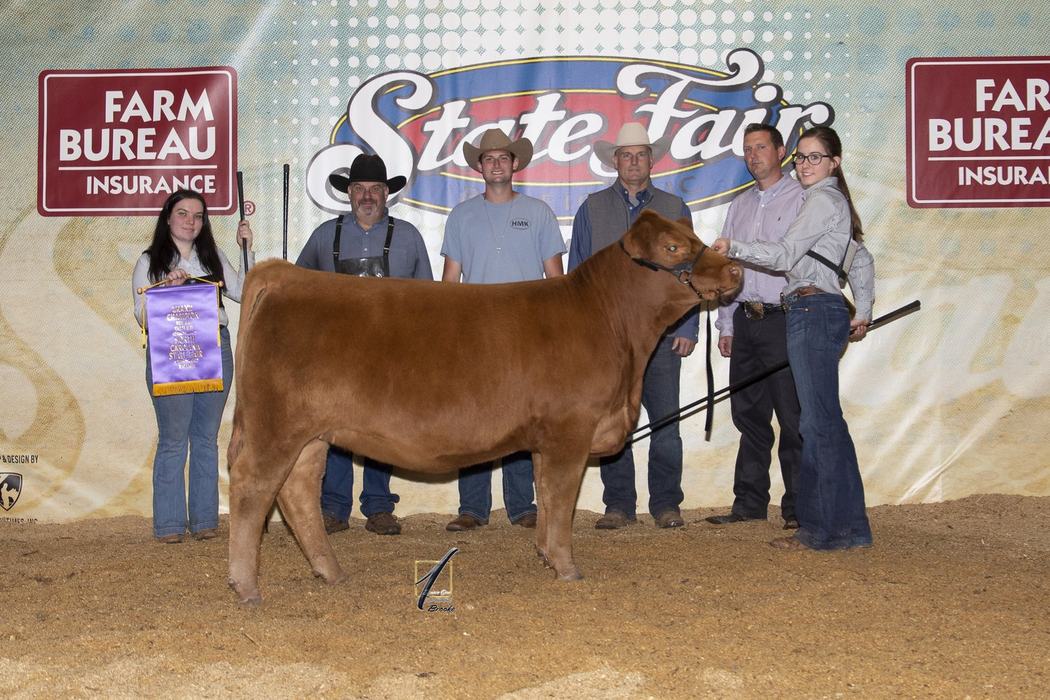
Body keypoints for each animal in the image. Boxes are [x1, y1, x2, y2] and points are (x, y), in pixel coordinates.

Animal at [226, 211, 742, 604]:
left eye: (697, 241)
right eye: (673, 248)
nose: (736, 270)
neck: (612, 326)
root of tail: (287, 275)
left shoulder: (546, 439)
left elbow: (546, 496)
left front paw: (546, 555)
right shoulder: (570, 429)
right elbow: (562, 499)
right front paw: (568, 567)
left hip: (312, 434)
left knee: (297, 493)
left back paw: (330, 572)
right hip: (277, 425)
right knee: (253, 487)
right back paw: (246, 586)